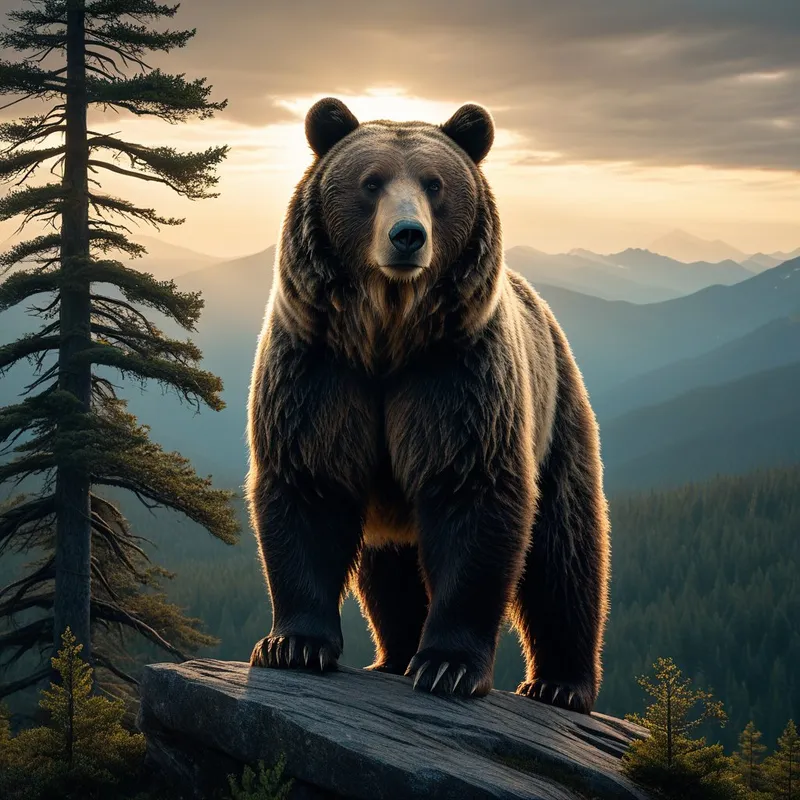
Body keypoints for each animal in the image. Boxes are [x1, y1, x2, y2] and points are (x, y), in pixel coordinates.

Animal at [245, 97, 610, 713]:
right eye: (371, 182)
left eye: (435, 184)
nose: (408, 235)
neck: (387, 334)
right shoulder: (321, 370)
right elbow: (308, 483)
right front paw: (292, 644)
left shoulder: (456, 378)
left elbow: (472, 493)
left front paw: (448, 667)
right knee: (388, 567)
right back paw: (392, 655)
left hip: (558, 414)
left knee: (564, 554)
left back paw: (559, 683)